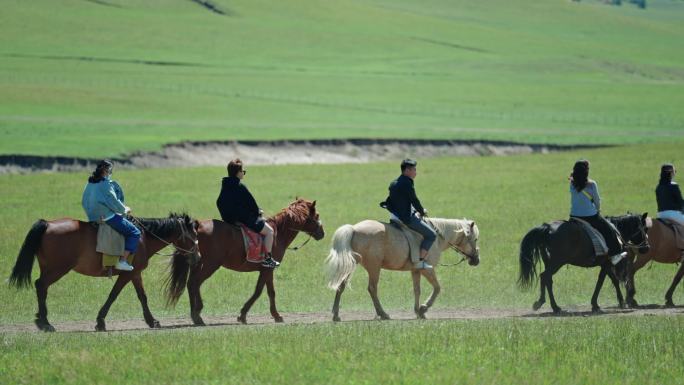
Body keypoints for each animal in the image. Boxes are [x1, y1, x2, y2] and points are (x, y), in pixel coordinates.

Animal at [8, 212, 200, 332]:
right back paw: (45, 322)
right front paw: (100, 322)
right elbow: (113, 295)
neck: (143, 238)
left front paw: (151, 321)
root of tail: (47, 223)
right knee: (41, 285)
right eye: (193, 238)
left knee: (41, 288)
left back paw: (41, 319)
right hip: (58, 269)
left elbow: (142, 297)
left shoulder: (136, 274)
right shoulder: (127, 274)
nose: (198, 257)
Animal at [166, 198, 326, 324]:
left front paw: (275, 315)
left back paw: (194, 314)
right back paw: (197, 314)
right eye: (317, 215)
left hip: (197, 263)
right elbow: (259, 291)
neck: (278, 233)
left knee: (190, 283)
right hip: (210, 265)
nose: (322, 233)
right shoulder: (267, 269)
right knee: (195, 283)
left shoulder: (267, 270)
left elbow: (271, 292)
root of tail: (197, 225)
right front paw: (243, 315)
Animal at [324, 216, 478, 320]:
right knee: (372, 288)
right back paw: (383, 314)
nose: (476, 260)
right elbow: (437, 288)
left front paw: (418, 311)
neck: (438, 238)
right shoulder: (427, 269)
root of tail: (354, 228)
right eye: (475, 239)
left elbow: (417, 290)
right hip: (374, 267)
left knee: (341, 285)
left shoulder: (416, 271)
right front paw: (423, 308)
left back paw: (336, 315)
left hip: (352, 265)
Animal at [520, 212, 648, 314]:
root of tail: (547, 227)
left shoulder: (606, 264)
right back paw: (550, 306)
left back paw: (549, 305)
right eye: (646, 228)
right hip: (557, 263)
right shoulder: (607, 264)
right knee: (545, 276)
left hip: (550, 263)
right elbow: (602, 282)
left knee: (547, 279)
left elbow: (613, 280)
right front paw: (597, 305)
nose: (647, 248)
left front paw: (619, 302)